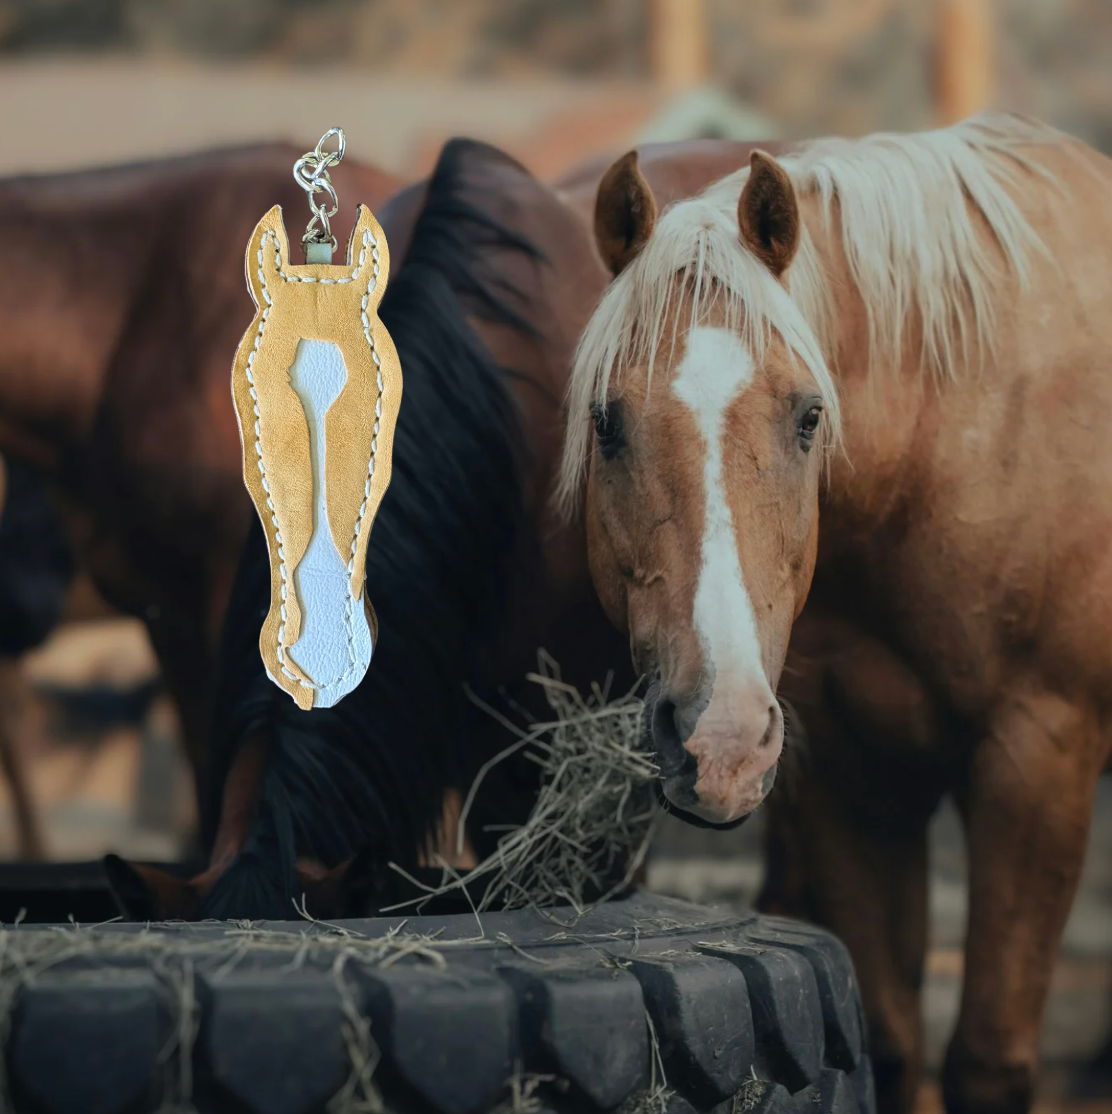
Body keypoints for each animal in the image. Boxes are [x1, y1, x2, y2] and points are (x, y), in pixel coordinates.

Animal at [556, 113, 1112, 1114]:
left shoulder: (1038, 762)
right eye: (607, 423)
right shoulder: (855, 778)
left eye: (810, 416)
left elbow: (987, 1060)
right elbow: (889, 1040)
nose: (721, 743)